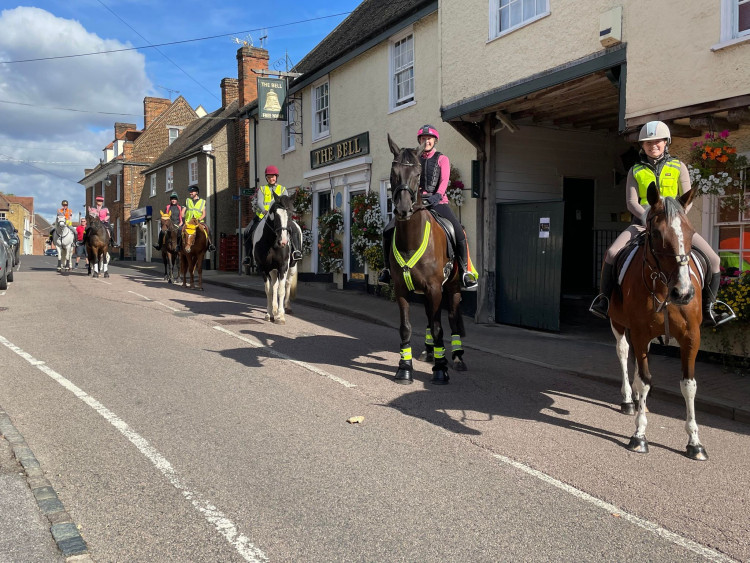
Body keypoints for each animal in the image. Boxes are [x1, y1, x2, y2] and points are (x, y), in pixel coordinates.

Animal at [254, 194, 298, 326]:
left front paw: (280, 316)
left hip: (292, 267)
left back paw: (287, 307)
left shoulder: (283, 267)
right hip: (272, 270)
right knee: (274, 285)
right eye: (275, 214)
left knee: (287, 284)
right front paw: (270, 314)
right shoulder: (263, 268)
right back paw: (274, 308)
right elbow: (269, 290)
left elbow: (281, 291)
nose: (283, 241)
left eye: (291, 213)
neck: (272, 243)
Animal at [388, 134, 464, 386]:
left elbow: (441, 328)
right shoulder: (402, 289)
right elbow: (406, 328)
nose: (403, 209)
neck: (412, 240)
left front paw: (441, 370)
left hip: (451, 287)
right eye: (394, 172)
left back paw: (457, 358)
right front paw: (404, 369)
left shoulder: (435, 288)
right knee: (432, 319)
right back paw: (430, 353)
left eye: (418, 173)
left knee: (452, 317)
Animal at [608, 183, 708, 460]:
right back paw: (629, 400)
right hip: (618, 324)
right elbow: (644, 380)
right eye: (655, 233)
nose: (683, 293)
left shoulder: (691, 337)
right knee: (623, 353)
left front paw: (695, 442)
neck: (664, 287)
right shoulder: (640, 333)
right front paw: (639, 435)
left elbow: (689, 385)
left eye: (691, 231)